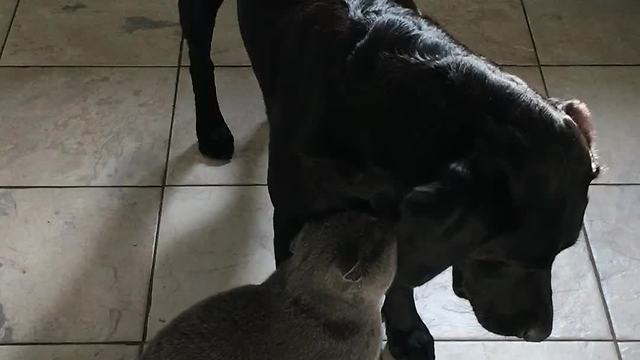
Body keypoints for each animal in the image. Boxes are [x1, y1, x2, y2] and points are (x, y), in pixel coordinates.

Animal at [180, 1, 600, 358]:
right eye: (499, 258)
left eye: (561, 254)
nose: (540, 333)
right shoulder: (292, 219)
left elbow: (400, 279)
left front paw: (405, 329)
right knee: (199, 58)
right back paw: (212, 127)